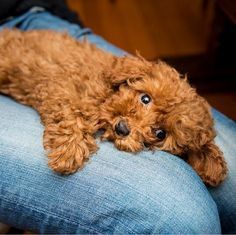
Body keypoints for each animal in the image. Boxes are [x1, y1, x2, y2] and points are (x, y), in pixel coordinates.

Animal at [0, 29, 227, 186]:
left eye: (160, 134)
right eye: (145, 99)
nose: (122, 129)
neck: (107, 94)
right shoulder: (59, 88)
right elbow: (71, 115)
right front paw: (69, 152)